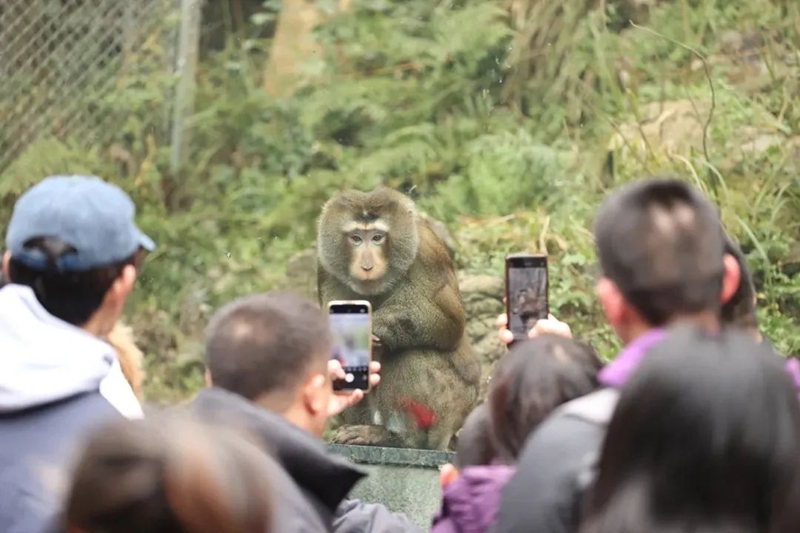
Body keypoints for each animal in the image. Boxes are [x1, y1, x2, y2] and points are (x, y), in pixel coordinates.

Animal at [318, 186, 482, 448]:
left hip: (450, 407)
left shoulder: (427, 252)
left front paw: (377, 327)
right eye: (356, 238)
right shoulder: (324, 267)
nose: (366, 266)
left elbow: (449, 323)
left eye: (377, 237)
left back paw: (398, 438)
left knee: (407, 355)